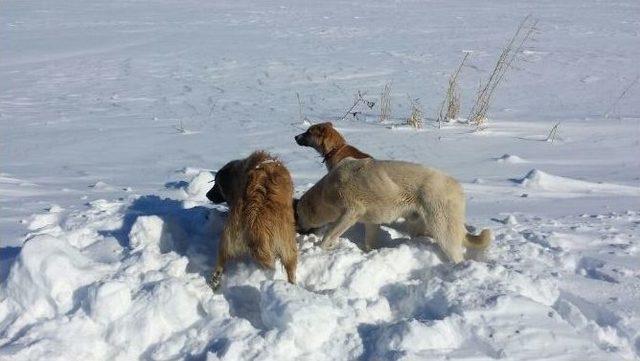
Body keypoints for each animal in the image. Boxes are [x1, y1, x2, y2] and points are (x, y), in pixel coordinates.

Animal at [205, 150, 298, 290]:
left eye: (217, 185)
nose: (207, 195)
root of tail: (255, 217)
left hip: (230, 236)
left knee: (221, 262)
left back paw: (215, 281)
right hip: (287, 244)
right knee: (291, 267)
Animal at [296, 158, 490, 262]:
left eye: (297, 217)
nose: (298, 232)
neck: (325, 191)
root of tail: (458, 187)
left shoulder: (350, 212)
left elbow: (328, 236)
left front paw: (322, 249)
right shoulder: (371, 223)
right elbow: (369, 242)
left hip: (442, 229)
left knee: (456, 254)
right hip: (420, 225)